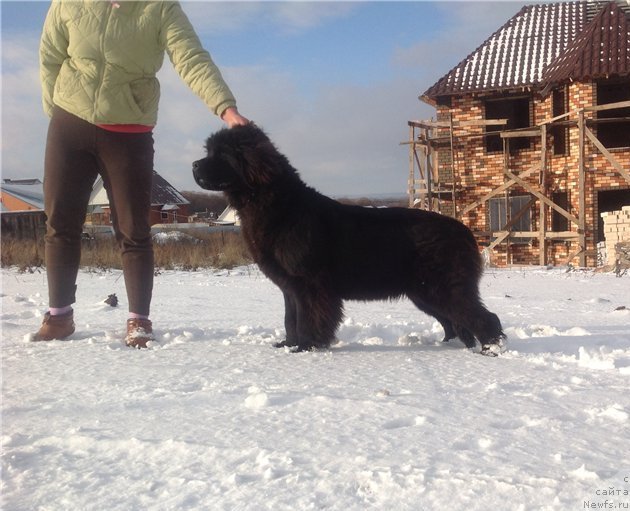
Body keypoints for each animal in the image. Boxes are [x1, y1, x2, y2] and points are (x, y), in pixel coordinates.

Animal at [194, 125, 508, 356]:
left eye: (222, 153)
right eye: (209, 151)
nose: (195, 165)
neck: (278, 205)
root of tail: (464, 231)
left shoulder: (310, 284)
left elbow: (308, 317)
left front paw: (307, 346)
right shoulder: (290, 286)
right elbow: (290, 318)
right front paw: (289, 344)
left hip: (443, 287)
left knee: (480, 316)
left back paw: (491, 349)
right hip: (424, 293)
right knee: (453, 322)